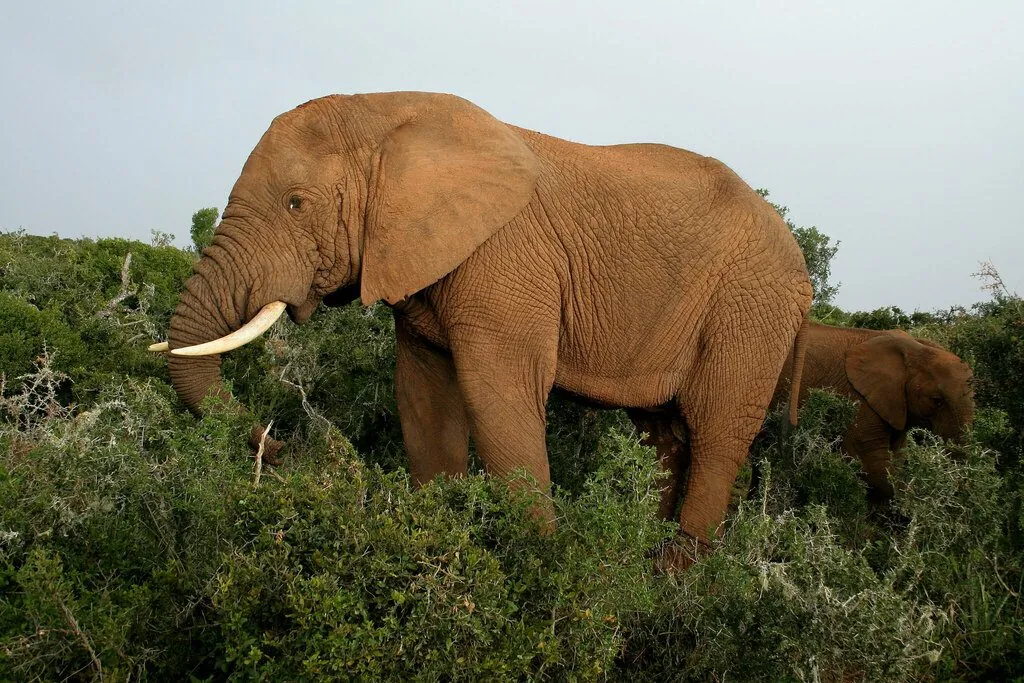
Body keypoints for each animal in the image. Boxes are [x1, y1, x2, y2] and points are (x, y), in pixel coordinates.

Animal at [151, 91, 812, 554]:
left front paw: (539, 571)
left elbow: (500, 400)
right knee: (664, 437)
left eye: (296, 203)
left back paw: (674, 586)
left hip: (750, 309)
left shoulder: (506, 262)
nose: (294, 443)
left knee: (716, 435)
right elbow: (423, 402)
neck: (385, 116)